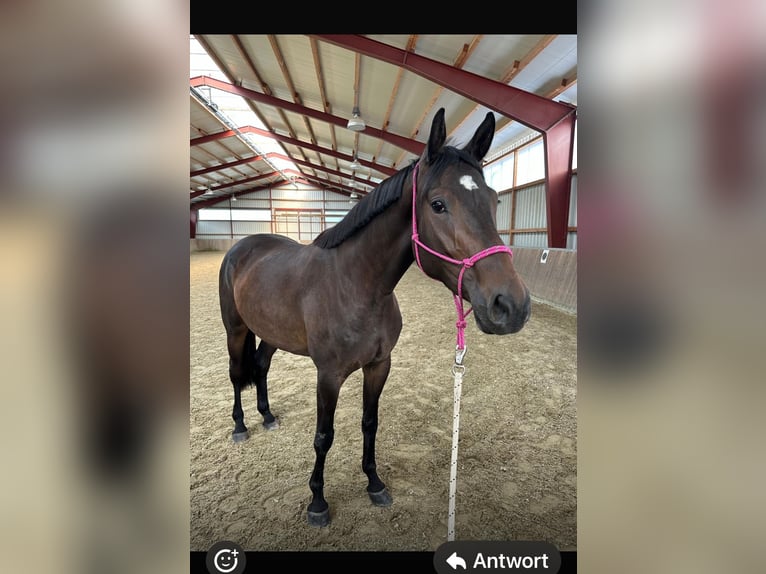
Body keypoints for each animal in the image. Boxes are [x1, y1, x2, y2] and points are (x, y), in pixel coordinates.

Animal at [218, 107, 531, 527]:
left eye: (495, 200)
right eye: (438, 204)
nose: (511, 306)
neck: (356, 285)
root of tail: (245, 245)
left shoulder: (379, 365)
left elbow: (370, 423)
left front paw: (374, 483)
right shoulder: (328, 375)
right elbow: (324, 435)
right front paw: (317, 502)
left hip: (270, 332)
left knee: (262, 366)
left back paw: (267, 416)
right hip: (236, 329)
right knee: (237, 374)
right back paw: (240, 426)